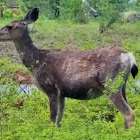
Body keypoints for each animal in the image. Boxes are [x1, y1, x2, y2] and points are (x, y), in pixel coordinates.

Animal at [0, 7, 138, 129]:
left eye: (9, 26)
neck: (35, 63)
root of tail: (129, 56)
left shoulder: (51, 89)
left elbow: (52, 120)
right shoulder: (62, 93)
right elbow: (59, 121)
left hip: (111, 84)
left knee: (129, 114)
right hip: (122, 86)